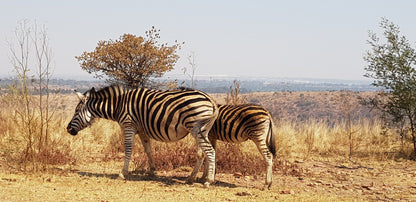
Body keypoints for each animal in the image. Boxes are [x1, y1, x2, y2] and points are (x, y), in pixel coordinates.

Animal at [66, 85, 218, 188]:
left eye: (76, 111)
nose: (68, 129)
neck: (118, 106)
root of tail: (211, 100)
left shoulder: (128, 126)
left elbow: (128, 149)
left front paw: (123, 173)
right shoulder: (142, 130)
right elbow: (148, 150)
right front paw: (152, 171)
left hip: (196, 128)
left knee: (210, 151)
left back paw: (208, 181)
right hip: (201, 130)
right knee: (201, 153)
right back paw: (191, 178)